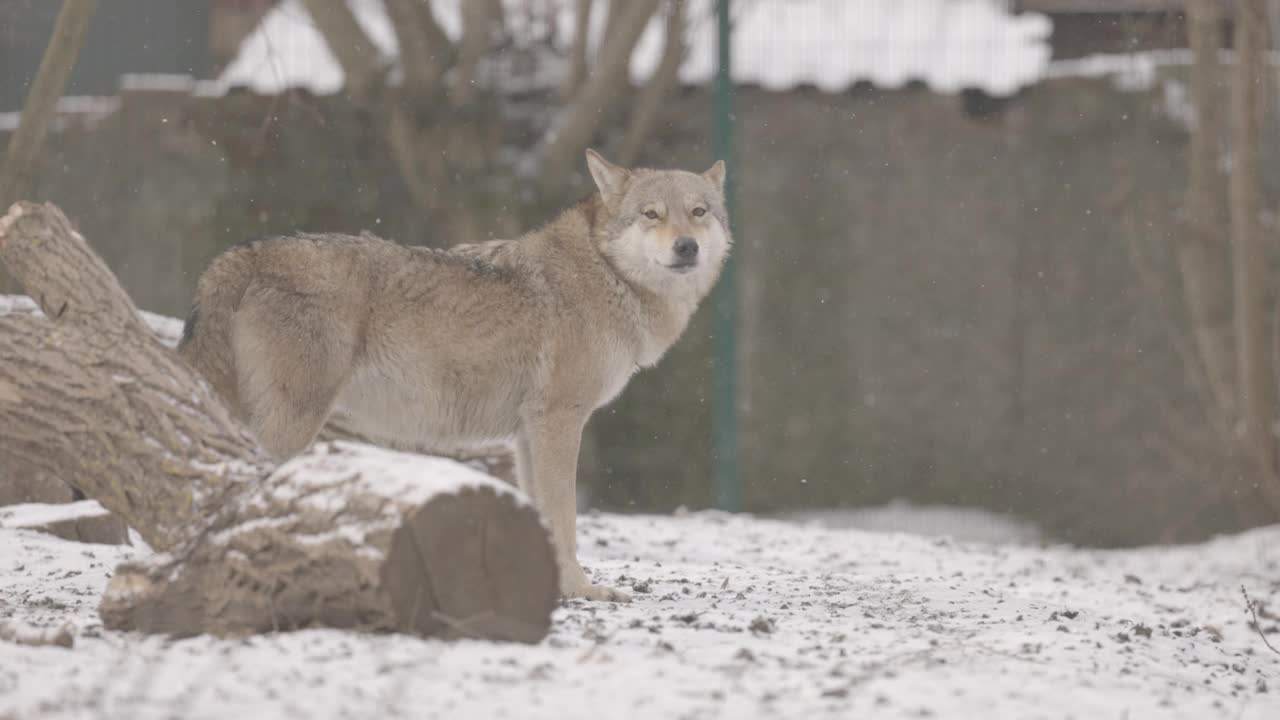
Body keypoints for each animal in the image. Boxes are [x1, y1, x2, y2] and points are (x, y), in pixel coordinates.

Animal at [180, 151, 732, 599]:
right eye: (651, 214)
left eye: (698, 212)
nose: (686, 247)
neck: (606, 272)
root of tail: (241, 254)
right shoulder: (558, 421)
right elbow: (565, 517)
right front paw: (582, 590)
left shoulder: (527, 434)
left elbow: (544, 515)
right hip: (290, 424)